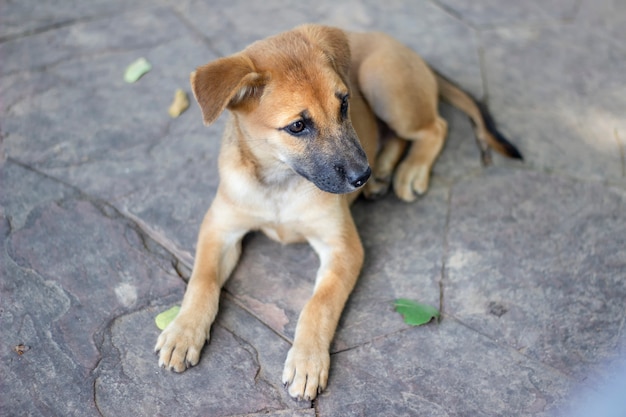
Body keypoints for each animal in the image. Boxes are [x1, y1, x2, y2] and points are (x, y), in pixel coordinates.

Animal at [154, 23, 520, 400]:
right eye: (297, 126)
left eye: (344, 104)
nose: (362, 176)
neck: (281, 183)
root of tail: (403, 47)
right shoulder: (219, 228)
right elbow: (202, 279)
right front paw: (183, 330)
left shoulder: (343, 247)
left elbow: (319, 304)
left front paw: (307, 360)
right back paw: (385, 171)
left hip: (383, 82)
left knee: (435, 126)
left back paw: (409, 170)